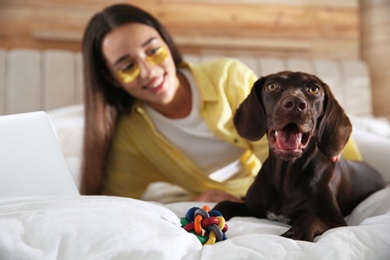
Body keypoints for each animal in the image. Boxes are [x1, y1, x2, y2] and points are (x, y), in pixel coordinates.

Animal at [215, 70, 386, 242]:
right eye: (272, 86)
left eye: (314, 89)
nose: (295, 104)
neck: (286, 178)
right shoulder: (252, 207)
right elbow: (225, 203)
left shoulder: (337, 220)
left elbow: (310, 216)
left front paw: (297, 233)